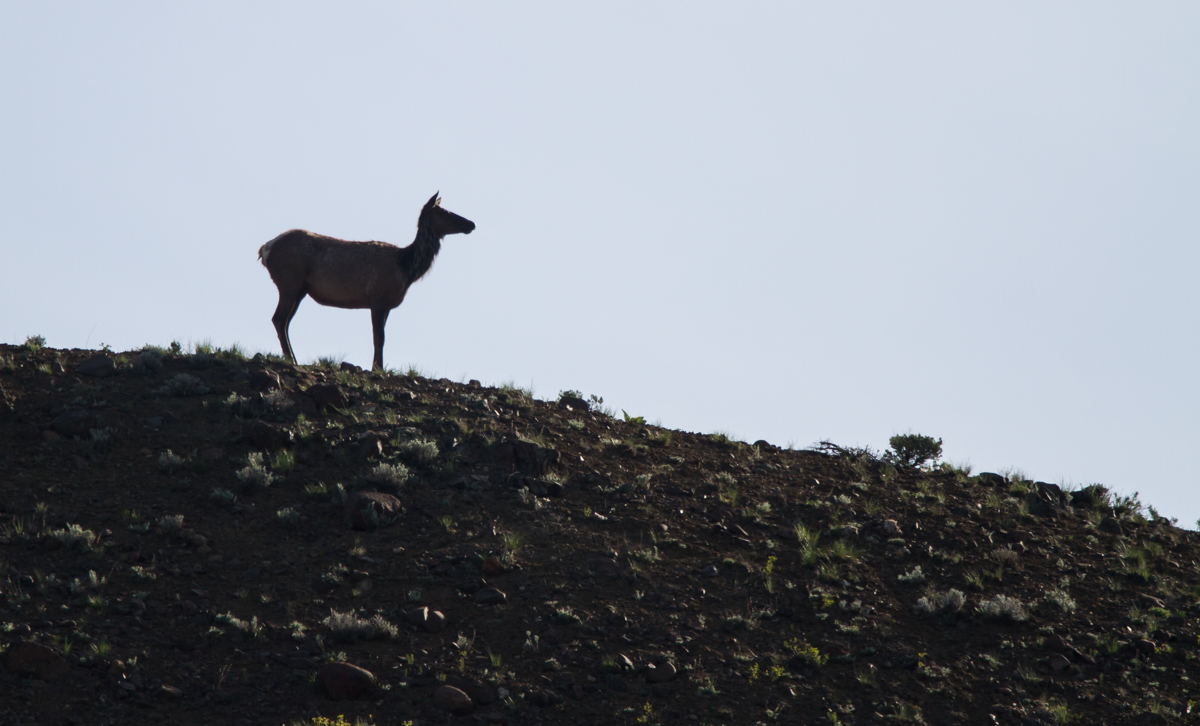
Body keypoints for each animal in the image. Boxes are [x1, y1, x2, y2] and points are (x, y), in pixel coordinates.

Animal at [258, 192, 476, 371]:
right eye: (445, 212)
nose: (471, 224)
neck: (407, 268)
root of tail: (265, 249)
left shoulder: (387, 305)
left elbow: (380, 336)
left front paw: (377, 366)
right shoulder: (377, 298)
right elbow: (379, 337)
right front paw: (378, 369)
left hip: (300, 290)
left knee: (285, 321)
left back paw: (292, 357)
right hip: (289, 282)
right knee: (279, 318)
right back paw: (291, 360)